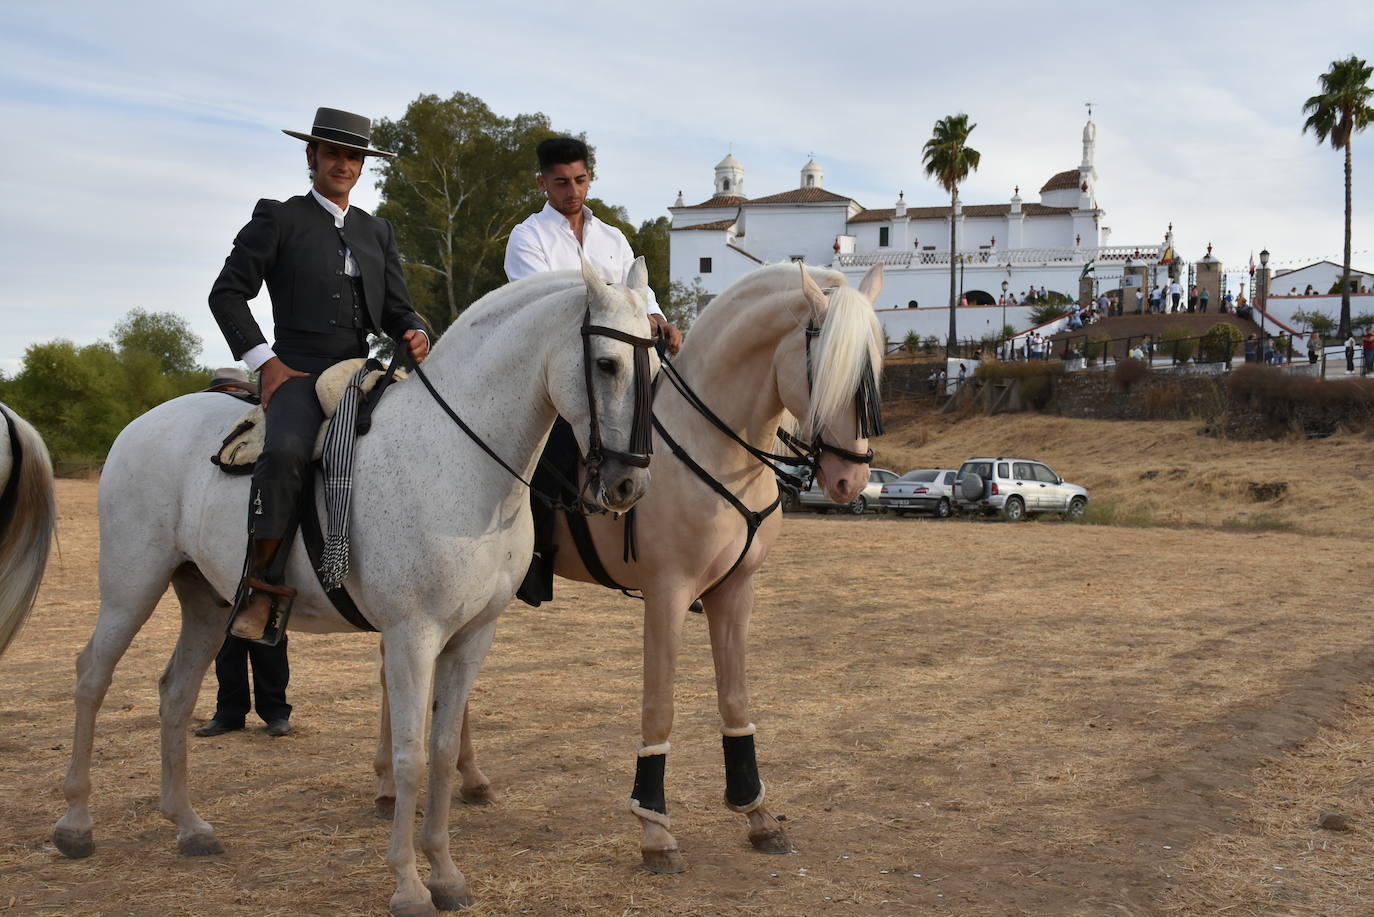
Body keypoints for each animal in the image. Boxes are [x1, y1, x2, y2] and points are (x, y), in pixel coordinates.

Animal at [53, 258, 654, 917]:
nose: (628, 485)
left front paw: (445, 873)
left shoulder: (474, 635)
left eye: (654, 366)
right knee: (91, 677)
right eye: (607, 364)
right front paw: (409, 884)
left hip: (208, 604)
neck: (458, 459)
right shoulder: (413, 635)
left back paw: (188, 827)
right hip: (132, 585)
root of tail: (141, 425)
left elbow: (444, 750)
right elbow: (411, 756)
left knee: (175, 694)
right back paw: (76, 824)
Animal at [381, 263, 884, 874]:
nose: (850, 480)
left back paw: (466, 779)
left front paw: (757, 814)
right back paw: (391, 787)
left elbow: (736, 701)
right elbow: (659, 708)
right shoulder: (668, 595)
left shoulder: (735, 592)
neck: (709, 445)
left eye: (875, 366)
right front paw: (655, 830)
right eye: (832, 366)